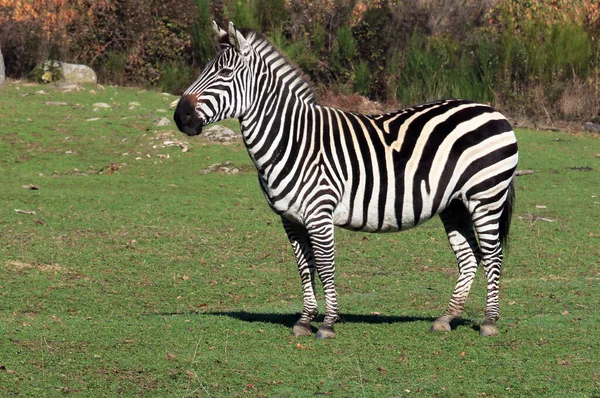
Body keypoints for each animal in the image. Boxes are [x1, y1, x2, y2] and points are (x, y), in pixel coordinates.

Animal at [172, 22, 516, 338]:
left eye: (225, 72)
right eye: (204, 69)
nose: (180, 117)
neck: (292, 138)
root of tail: (491, 109)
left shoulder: (319, 213)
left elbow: (325, 266)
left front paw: (326, 324)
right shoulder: (290, 219)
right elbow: (305, 267)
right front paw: (304, 321)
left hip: (486, 196)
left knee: (493, 254)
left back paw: (489, 322)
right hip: (455, 204)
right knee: (469, 257)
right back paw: (447, 318)